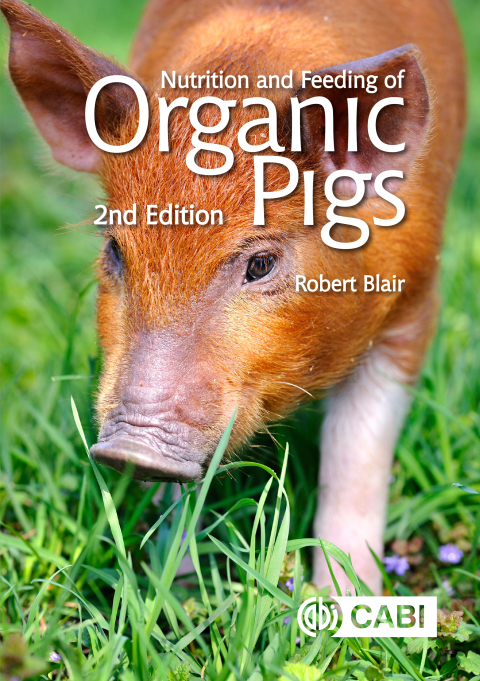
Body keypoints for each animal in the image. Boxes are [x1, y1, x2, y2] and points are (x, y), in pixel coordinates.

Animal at [1, 0, 465, 594]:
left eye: (260, 264)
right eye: (115, 249)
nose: (131, 449)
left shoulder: (413, 304)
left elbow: (356, 456)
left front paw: (342, 603)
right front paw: (175, 586)